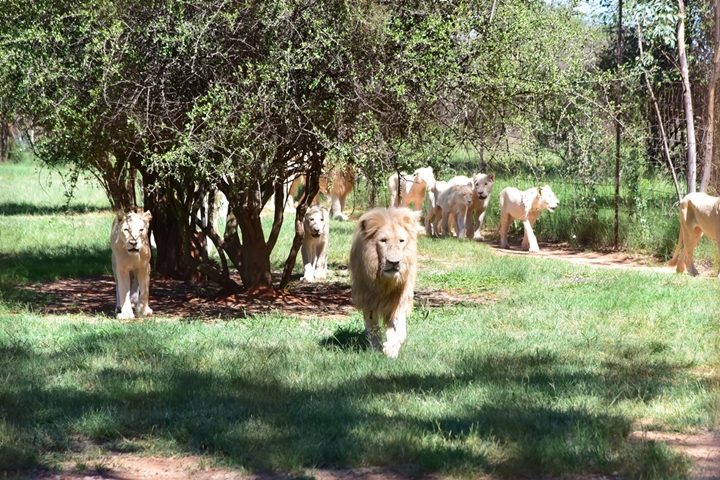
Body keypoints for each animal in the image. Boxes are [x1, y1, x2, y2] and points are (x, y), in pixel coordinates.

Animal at [348, 207, 419, 358]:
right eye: (383, 240)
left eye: (401, 241)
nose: (394, 262)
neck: (385, 282)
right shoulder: (367, 300)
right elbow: (372, 328)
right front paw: (376, 349)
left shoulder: (398, 301)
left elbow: (401, 332)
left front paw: (391, 348)